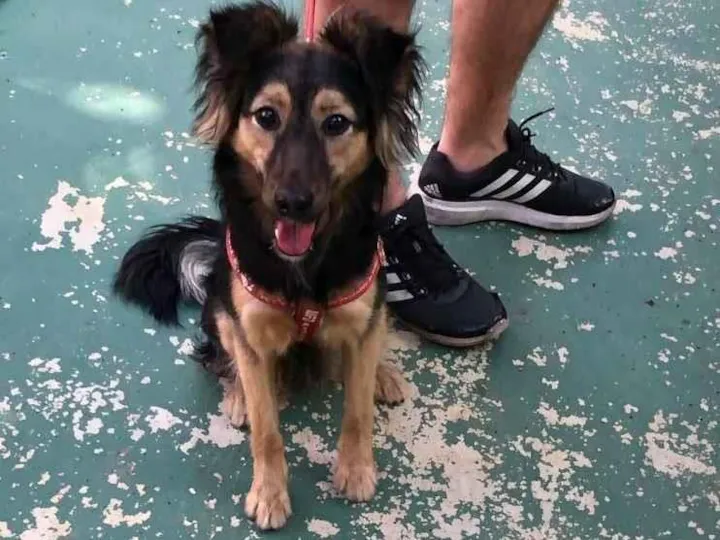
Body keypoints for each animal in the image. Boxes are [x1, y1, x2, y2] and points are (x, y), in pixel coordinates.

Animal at [112, 1, 424, 530]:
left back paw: (383, 371)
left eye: (336, 123)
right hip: (219, 302)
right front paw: (270, 494)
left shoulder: (361, 309)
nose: (292, 203)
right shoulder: (251, 327)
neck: (305, 266)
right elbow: (267, 430)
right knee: (227, 353)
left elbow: (357, 410)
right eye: (266, 116)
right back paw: (237, 392)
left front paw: (356, 469)